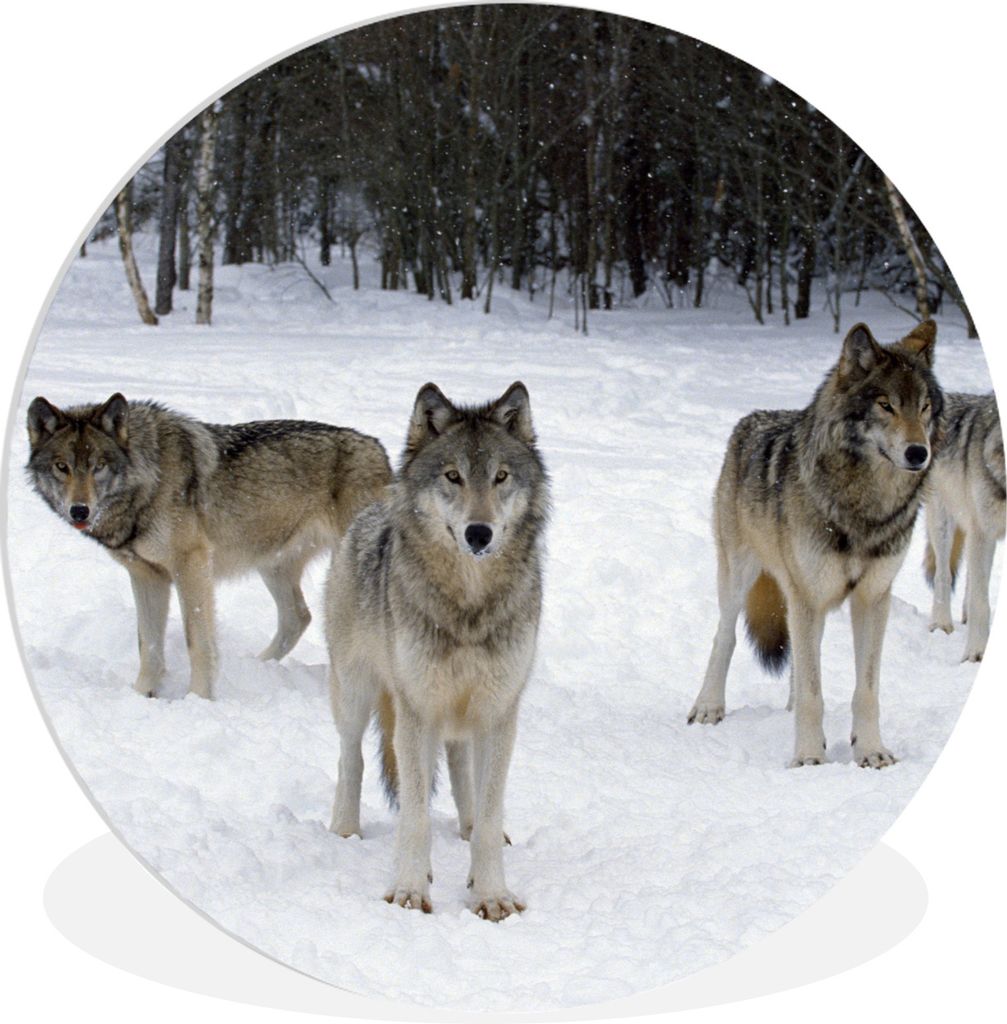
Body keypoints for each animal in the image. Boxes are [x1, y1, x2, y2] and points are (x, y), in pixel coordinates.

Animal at [26, 393, 392, 699]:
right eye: (62, 467)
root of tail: (380, 449)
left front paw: (199, 699)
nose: (79, 510)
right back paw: (258, 666)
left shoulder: (191, 565)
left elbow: (197, 642)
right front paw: (142, 695)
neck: (148, 480)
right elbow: (148, 644)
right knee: (298, 617)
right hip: (272, 566)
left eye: (98, 466)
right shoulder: (146, 576)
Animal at [326, 381, 549, 921]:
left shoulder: (498, 711)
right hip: (356, 693)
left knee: (462, 770)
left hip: (463, 714)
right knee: (351, 758)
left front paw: (490, 894)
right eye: (453, 476)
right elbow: (415, 816)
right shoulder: (416, 711)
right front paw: (410, 890)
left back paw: (466, 830)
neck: (468, 604)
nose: (478, 533)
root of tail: (371, 509)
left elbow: (488, 814)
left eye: (500, 477)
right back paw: (345, 830)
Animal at [688, 321, 942, 768]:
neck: (864, 507)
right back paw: (708, 707)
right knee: (726, 637)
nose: (918, 453)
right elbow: (812, 693)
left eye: (925, 407)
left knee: (800, 660)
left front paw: (870, 751)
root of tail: (752, 419)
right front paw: (808, 758)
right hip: (742, 577)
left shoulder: (872, 598)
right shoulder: (808, 595)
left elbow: (865, 690)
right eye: (886, 406)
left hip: (806, 600)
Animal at [924, 391, 1005, 661]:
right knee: (943, 574)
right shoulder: (983, 531)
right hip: (943, 522)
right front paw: (976, 654)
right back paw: (941, 625)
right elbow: (981, 603)